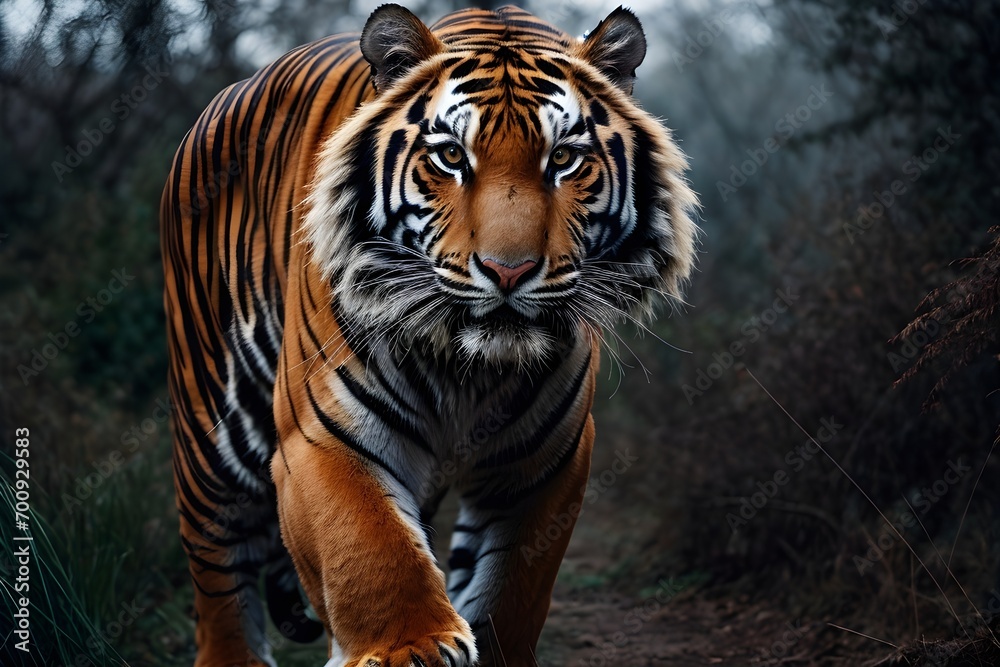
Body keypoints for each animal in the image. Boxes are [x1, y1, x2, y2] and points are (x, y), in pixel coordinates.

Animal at [160, 4, 698, 666]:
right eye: (450, 157)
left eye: (563, 160)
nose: (508, 271)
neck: (468, 369)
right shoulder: (322, 433)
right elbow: (369, 547)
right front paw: (408, 647)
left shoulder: (548, 461)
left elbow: (511, 590)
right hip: (210, 427)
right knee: (219, 572)